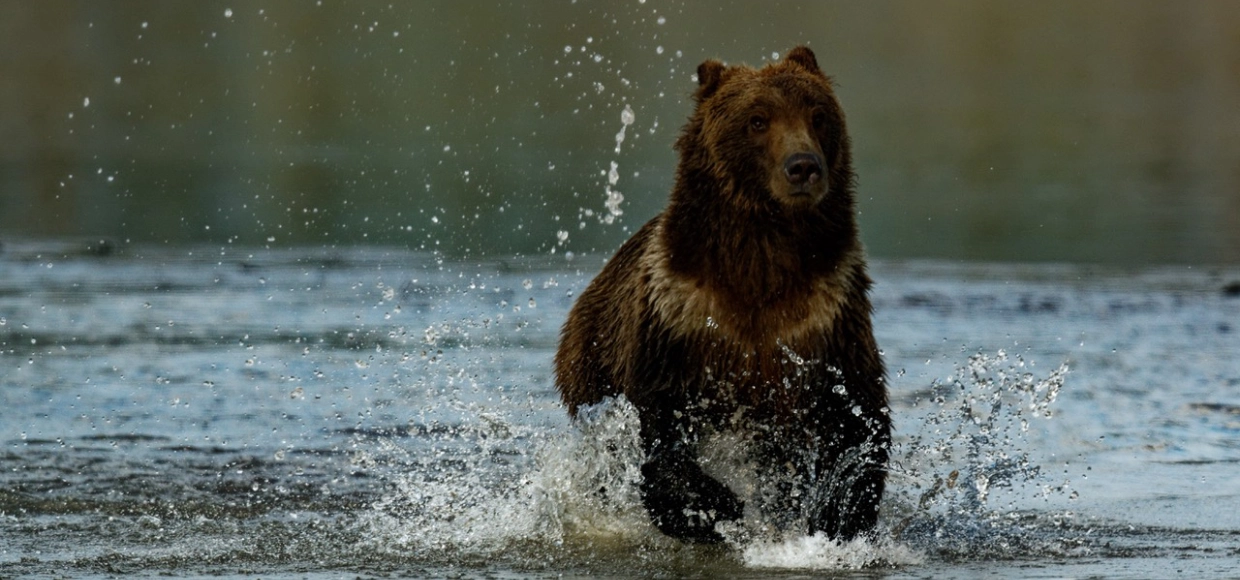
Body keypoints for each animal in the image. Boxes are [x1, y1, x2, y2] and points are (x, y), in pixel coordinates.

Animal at [554, 46, 889, 543]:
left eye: (818, 115)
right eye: (757, 119)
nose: (803, 166)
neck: (762, 259)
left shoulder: (828, 315)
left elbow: (858, 417)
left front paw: (839, 511)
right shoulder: (678, 318)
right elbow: (655, 427)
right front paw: (712, 505)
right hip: (589, 364)